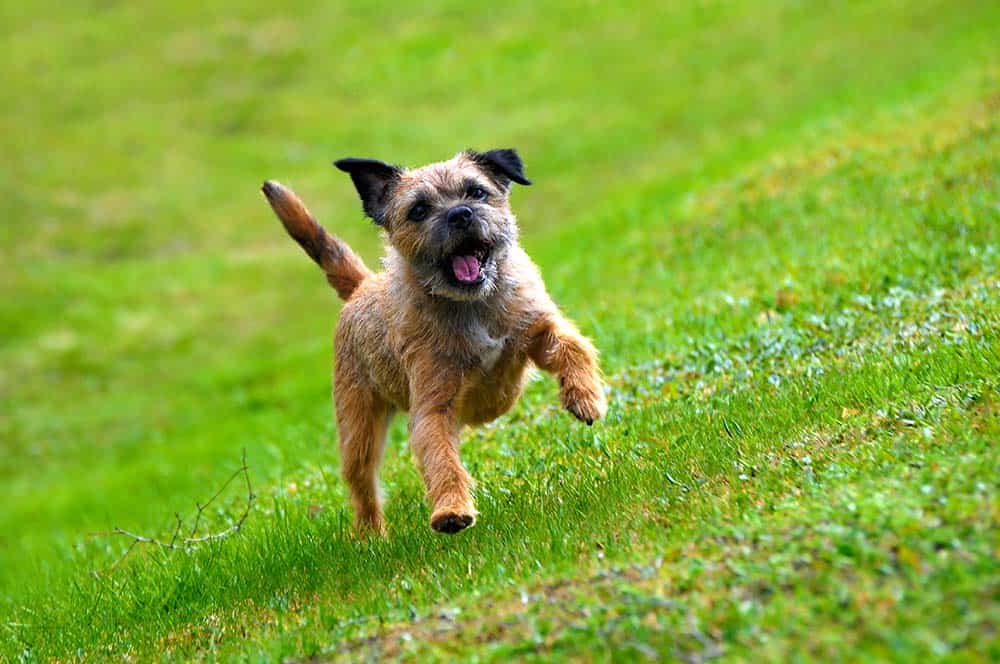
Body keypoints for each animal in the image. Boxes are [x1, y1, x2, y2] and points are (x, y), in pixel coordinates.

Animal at [262, 150, 604, 536]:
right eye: (419, 210)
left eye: (477, 192)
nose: (461, 214)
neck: (470, 306)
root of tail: (362, 286)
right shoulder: (433, 407)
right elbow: (442, 459)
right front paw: (451, 510)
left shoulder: (536, 326)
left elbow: (573, 346)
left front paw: (585, 397)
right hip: (358, 428)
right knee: (362, 483)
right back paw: (370, 536)